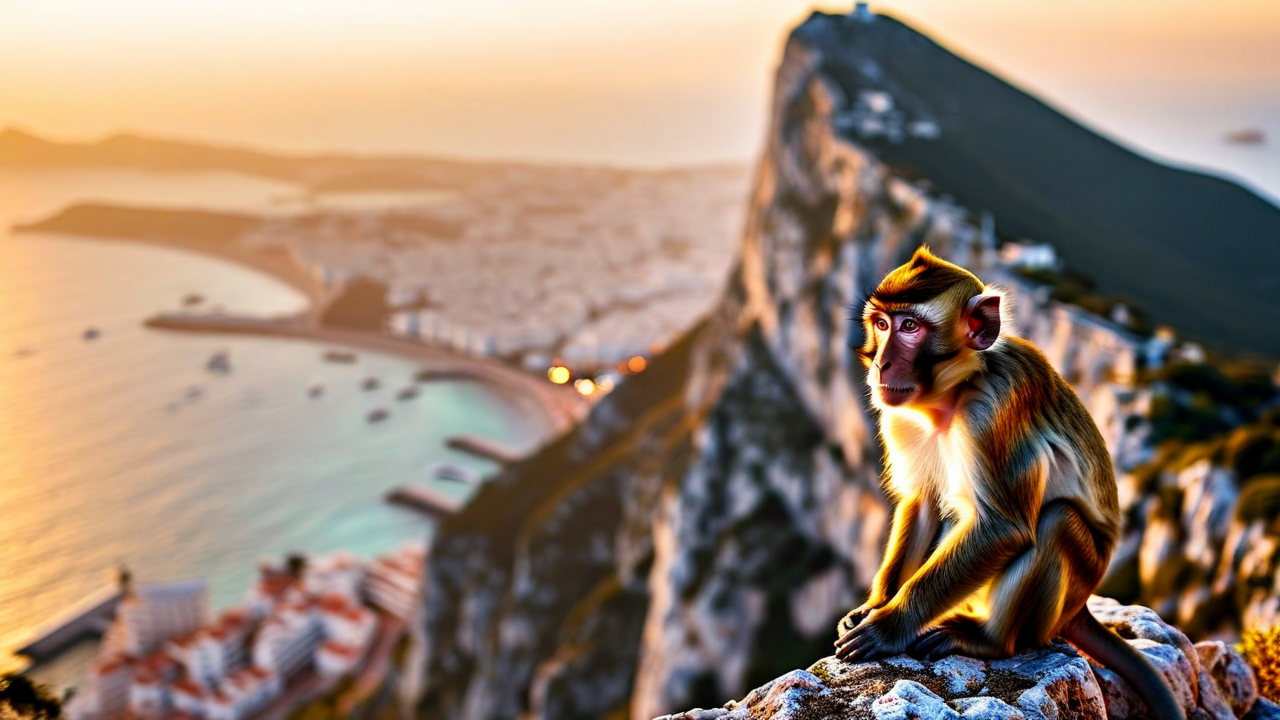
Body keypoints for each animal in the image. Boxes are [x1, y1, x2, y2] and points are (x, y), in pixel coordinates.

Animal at [833, 247, 1184, 719]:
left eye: (910, 327)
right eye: (883, 325)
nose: (882, 364)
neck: (954, 396)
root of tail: (1080, 608)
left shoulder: (995, 406)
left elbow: (1005, 527)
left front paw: (890, 626)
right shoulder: (899, 415)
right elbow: (922, 504)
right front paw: (875, 605)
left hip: (1067, 591)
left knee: (1057, 521)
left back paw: (989, 640)